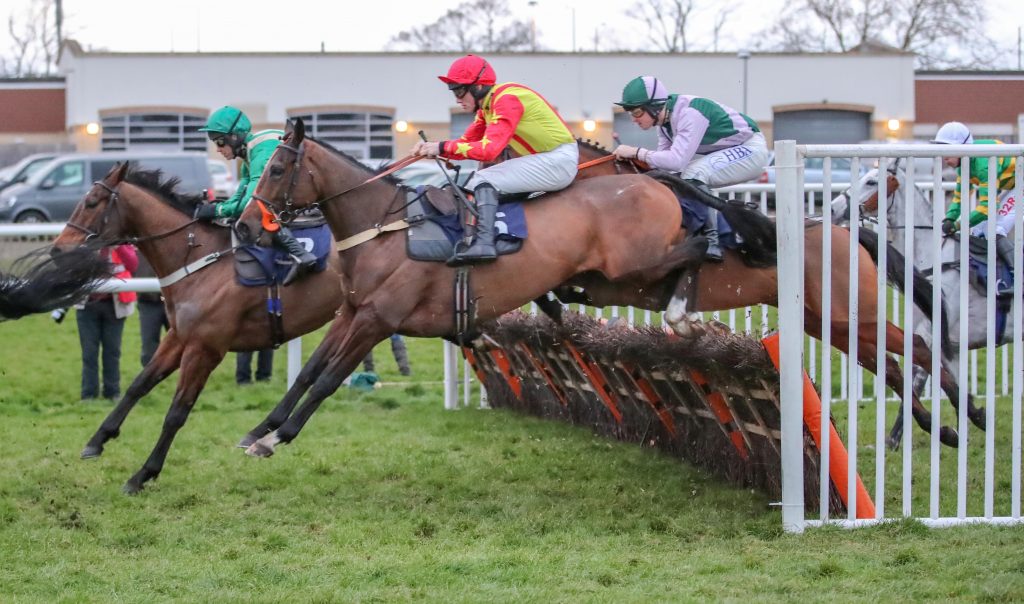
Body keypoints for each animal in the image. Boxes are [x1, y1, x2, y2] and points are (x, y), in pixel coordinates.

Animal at [49, 163, 348, 493]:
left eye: (91, 202)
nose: (57, 251)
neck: (198, 260)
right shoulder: (179, 337)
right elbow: (138, 385)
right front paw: (97, 440)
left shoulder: (204, 349)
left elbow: (177, 412)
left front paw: (143, 474)